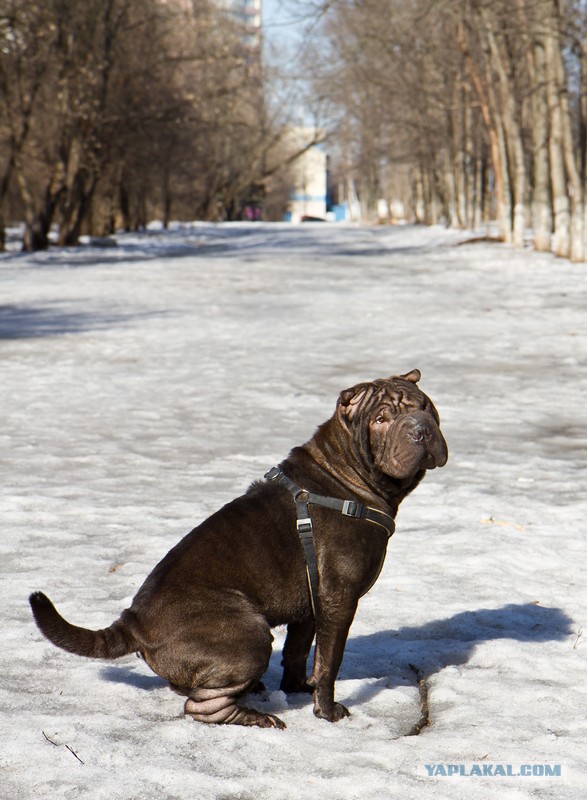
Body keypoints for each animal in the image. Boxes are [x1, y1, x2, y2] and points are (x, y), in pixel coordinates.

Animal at [29, 370, 448, 732]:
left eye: (425, 406)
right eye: (380, 418)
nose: (421, 429)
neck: (345, 472)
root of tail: (133, 622)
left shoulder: (311, 602)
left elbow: (299, 651)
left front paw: (298, 689)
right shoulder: (339, 598)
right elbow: (330, 660)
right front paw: (327, 712)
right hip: (249, 634)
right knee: (201, 705)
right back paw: (256, 716)